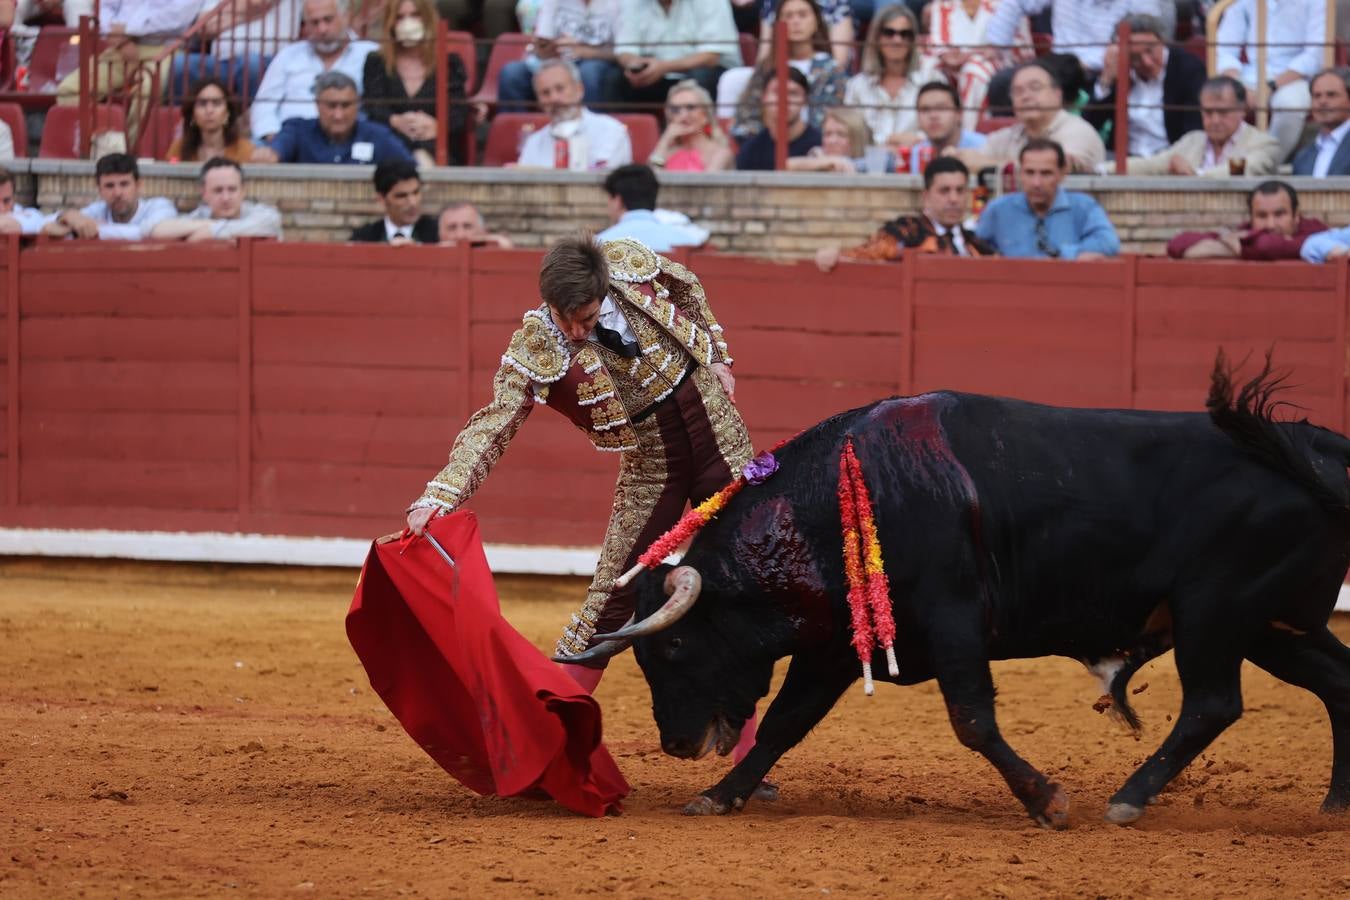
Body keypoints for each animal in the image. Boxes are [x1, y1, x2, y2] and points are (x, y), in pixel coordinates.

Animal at [575, 356, 1350, 825]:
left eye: (672, 649)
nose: (676, 745)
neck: (829, 501)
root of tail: (1306, 447)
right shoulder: (833, 647)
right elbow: (784, 725)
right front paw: (719, 795)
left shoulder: (953, 622)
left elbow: (971, 719)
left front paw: (1046, 800)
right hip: (1274, 624)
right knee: (1334, 683)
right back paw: (1336, 804)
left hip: (1215, 613)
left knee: (1212, 704)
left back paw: (1126, 800)